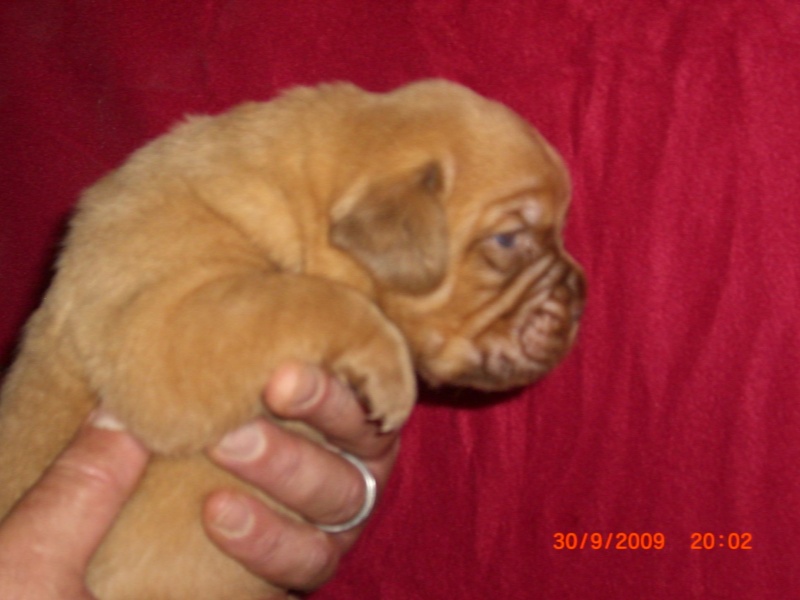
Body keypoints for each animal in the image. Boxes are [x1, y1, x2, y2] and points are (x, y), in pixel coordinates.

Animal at [0, 81, 588, 600]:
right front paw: (390, 372)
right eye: (508, 240)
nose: (583, 295)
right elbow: (301, 296)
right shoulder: (163, 328)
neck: (298, 201)